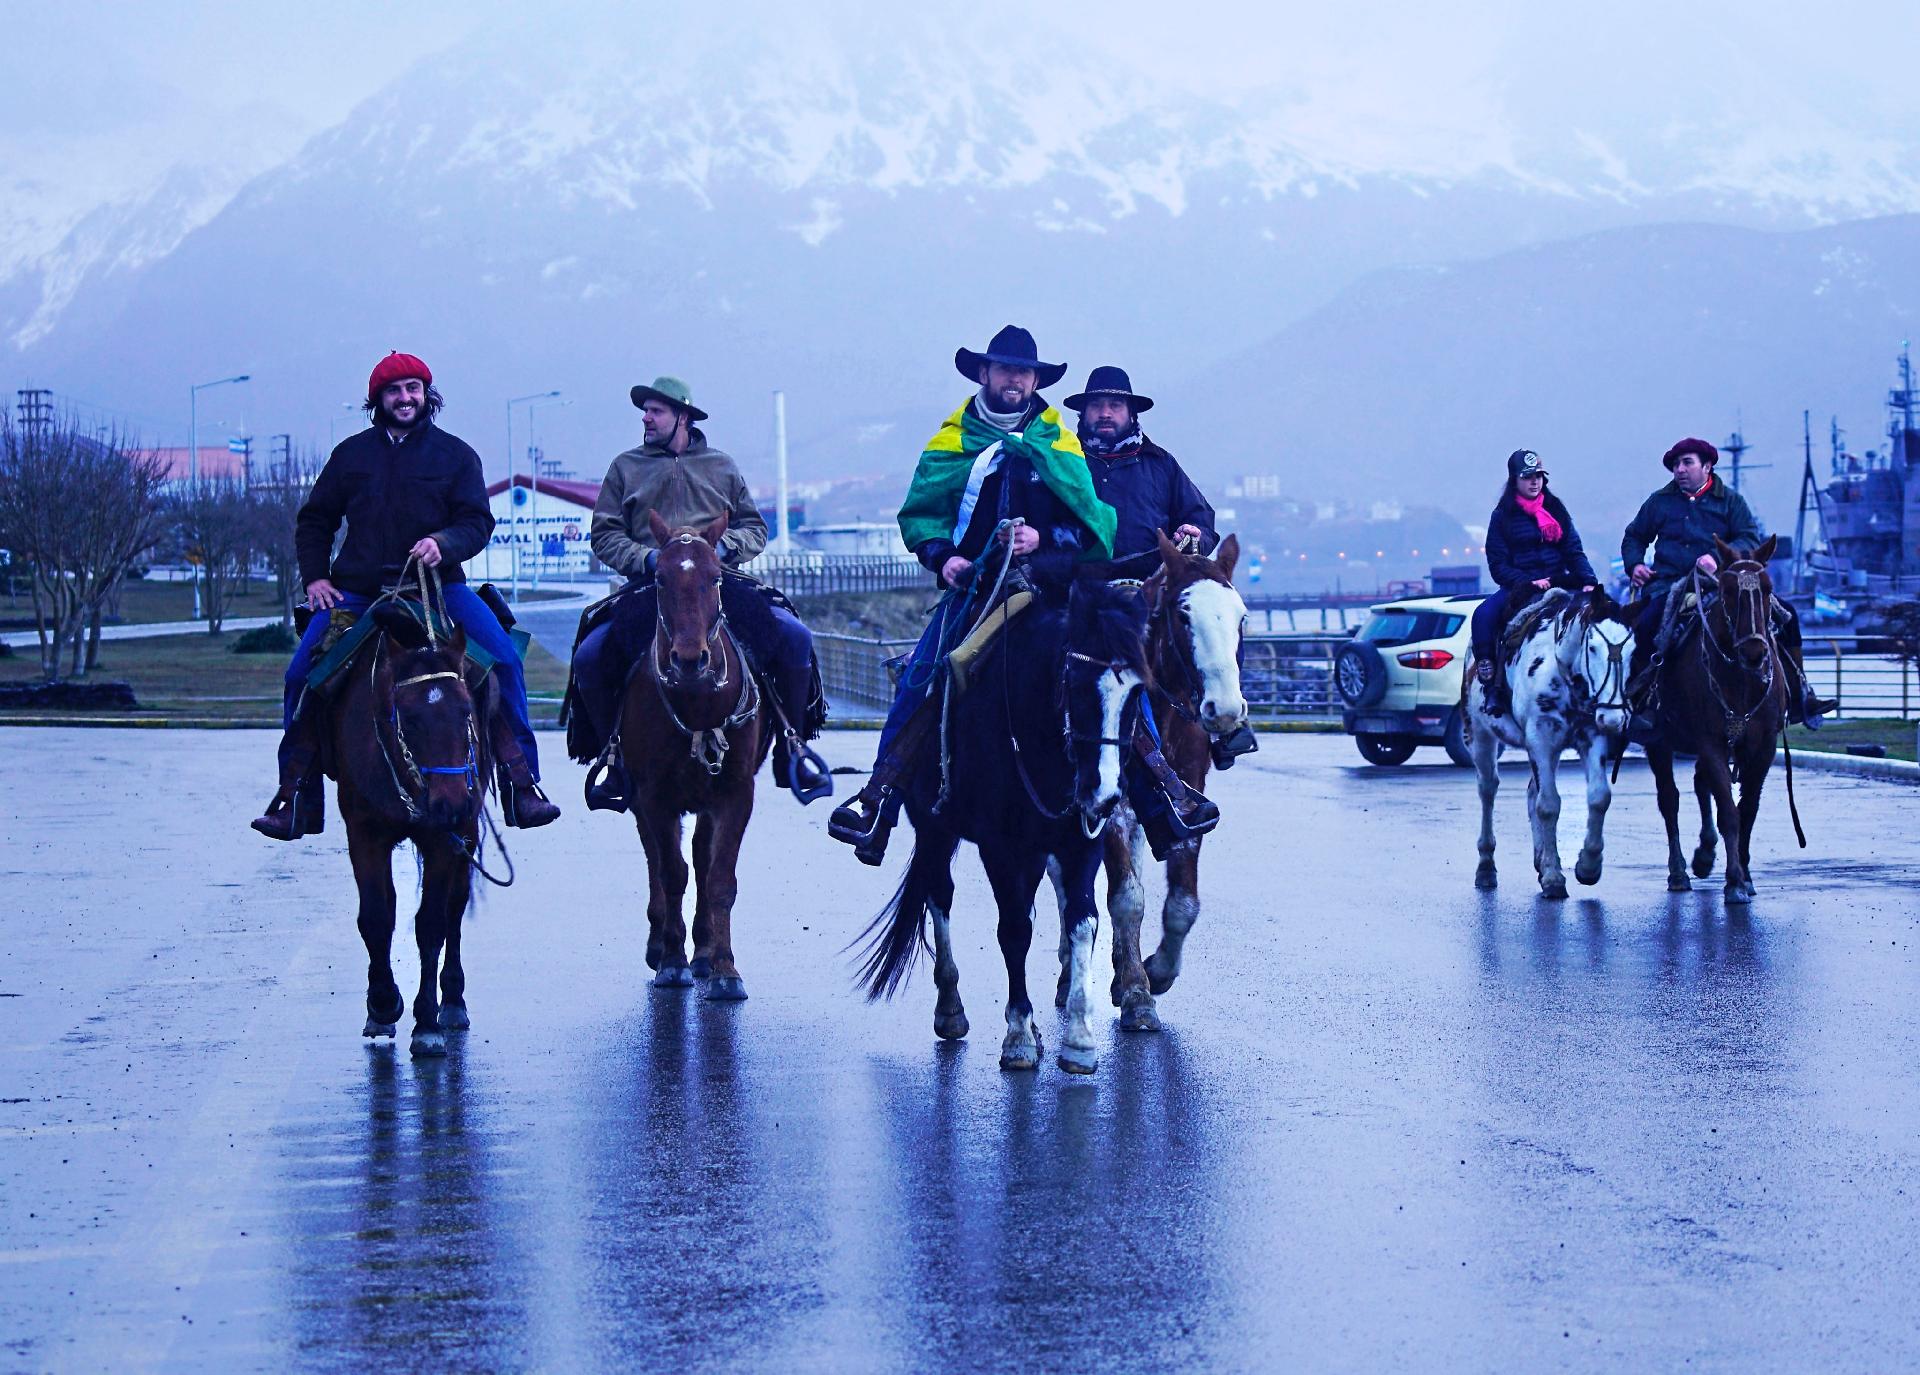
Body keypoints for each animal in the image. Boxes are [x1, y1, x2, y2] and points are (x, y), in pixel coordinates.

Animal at [330, 595, 495, 1060]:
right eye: (409, 716)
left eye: (466, 711)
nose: (451, 803)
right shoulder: (364, 834)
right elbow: (376, 916)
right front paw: (383, 1003)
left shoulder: (443, 840)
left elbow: (432, 923)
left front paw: (427, 1022)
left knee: (455, 907)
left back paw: (452, 1001)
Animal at [614, 514, 764, 998]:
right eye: (659, 578)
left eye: (716, 576)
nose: (689, 659)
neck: (698, 702)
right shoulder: (654, 796)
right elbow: (671, 872)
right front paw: (671, 961)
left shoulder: (735, 793)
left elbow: (718, 879)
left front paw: (724, 969)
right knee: (657, 860)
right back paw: (663, 944)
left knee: (699, 856)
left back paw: (703, 950)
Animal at [852, 568, 1144, 1075]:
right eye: (1074, 681)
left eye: (1138, 692)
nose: (1105, 794)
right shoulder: (999, 846)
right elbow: (1013, 931)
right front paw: (1018, 1037)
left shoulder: (1079, 840)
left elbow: (1082, 920)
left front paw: (1079, 1039)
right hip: (935, 830)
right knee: (940, 894)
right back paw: (950, 1010)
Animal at [1466, 591, 1635, 902]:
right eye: (1592, 647)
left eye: (1633, 651)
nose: (1614, 718)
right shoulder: (1540, 736)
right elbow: (1549, 805)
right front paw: (1555, 879)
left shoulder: (1590, 734)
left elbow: (1599, 797)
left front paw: (1588, 866)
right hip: (1479, 734)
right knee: (1487, 789)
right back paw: (1486, 866)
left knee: (1532, 790)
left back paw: (1541, 860)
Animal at [1635, 533, 1797, 902]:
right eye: (1728, 590)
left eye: (1767, 588)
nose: (1754, 652)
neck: (1740, 678)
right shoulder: (1711, 743)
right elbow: (1728, 812)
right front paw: (1734, 881)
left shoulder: (1763, 749)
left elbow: (1747, 810)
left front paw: (1745, 876)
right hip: (1660, 743)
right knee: (1670, 799)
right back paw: (1679, 871)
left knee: (1699, 783)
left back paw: (1705, 855)